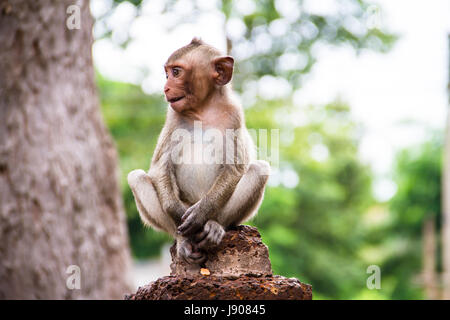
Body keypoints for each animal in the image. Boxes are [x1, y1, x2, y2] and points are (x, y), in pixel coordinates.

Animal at [127, 37, 270, 264]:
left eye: (176, 72)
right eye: (167, 74)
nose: (166, 87)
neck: (203, 110)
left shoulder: (234, 115)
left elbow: (234, 168)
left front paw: (201, 213)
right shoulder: (173, 117)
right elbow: (160, 167)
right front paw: (177, 212)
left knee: (259, 169)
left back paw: (214, 226)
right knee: (136, 177)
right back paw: (183, 238)